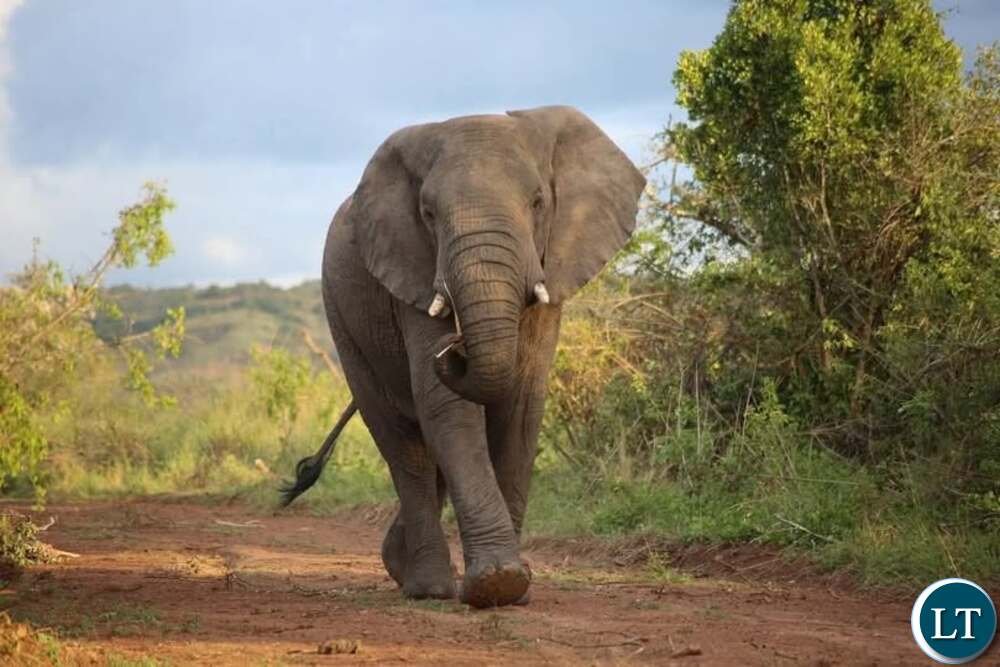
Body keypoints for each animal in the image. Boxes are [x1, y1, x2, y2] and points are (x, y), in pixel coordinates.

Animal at [280, 105, 645, 608]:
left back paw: (408, 567)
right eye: (428, 214)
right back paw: (429, 588)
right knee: (403, 445)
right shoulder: (411, 267)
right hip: (342, 318)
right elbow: (449, 408)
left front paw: (511, 587)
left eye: (537, 202)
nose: (454, 347)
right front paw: (497, 583)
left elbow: (521, 406)